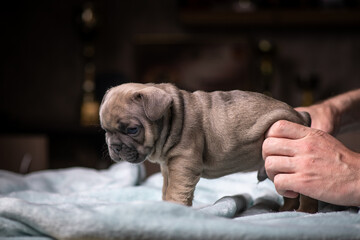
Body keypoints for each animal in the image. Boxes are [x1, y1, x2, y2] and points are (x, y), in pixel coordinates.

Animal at [100, 82, 316, 212]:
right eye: (105, 130)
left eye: (132, 130)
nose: (115, 146)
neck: (172, 118)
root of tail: (300, 116)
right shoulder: (169, 167)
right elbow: (166, 188)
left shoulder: (183, 164)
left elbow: (175, 190)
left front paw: (175, 208)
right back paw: (286, 210)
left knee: (304, 192)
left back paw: (304, 212)